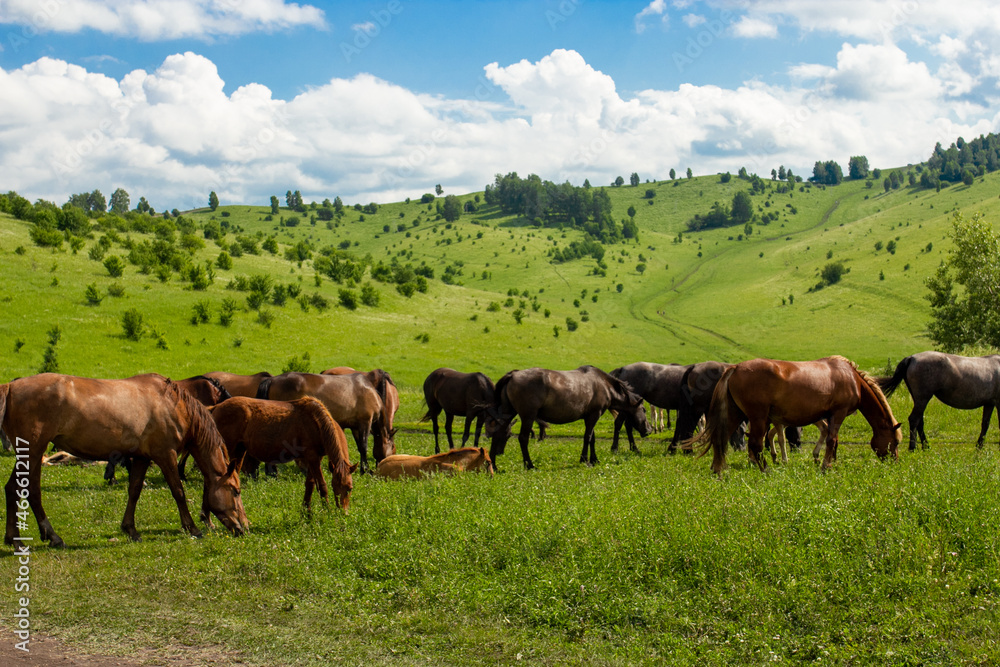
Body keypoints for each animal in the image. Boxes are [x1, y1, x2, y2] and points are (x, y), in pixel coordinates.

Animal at [0, 374, 247, 544]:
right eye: (236, 491)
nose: (244, 527)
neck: (173, 404)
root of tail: (11, 387)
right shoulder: (165, 455)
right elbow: (178, 491)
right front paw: (192, 528)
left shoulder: (141, 458)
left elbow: (134, 490)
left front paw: (130, 529)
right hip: (32, 452)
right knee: (22, 489)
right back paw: (36, 537)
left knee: (22, 490)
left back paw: (31, 537)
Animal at [209, 400, 358, 516]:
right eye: (334, 486)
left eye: (350, 488)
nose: (343, 512)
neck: (317, 422)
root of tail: (216, 407)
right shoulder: (313, 458)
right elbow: (321, 485)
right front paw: (327, 511)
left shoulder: (315, 458)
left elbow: (309, 484)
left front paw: (306, 511)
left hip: (239, 451)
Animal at [258, 370, 394, 474]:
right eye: (393, 447)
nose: (381, 464)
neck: (370, 391)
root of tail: (272, 380)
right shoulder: (365, 423)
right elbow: (364, 447)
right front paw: (365, 470)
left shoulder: (355, 427)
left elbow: (359, 447)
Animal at [490, 366, 648, 470]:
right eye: (644, 410)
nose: (649, 430)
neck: (603, 384)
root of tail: (513, 375)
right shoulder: (594, 415)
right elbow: (587, 437)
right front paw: (585, 460)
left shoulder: (589, 417)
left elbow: (592, 438)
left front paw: (594, 459)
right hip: (528, 416)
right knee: (523, 438)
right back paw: (530, 465)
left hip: (508, 413)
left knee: (498, 434)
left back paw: (493, 465)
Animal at [696, 354, 900, 474]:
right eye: (896, 442)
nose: (895, 461)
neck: (852, 378)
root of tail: (735, 368)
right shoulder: (838, 413)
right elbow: (831, 439)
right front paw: (826, 466)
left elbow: (832, 439)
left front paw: (828, 461)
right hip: (758, 418)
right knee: (754, 444)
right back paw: (765, 469)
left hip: (735, 414)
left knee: (720, 439)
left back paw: (718, 470)